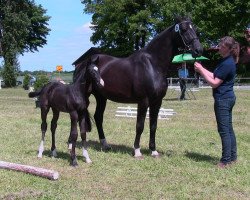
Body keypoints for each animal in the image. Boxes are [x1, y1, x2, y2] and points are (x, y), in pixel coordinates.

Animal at [85, 16, 203, 159]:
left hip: (101, 97)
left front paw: (153, 151)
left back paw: (105, 145)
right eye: (184, 29)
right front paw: (137, 151)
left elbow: (153, 125)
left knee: (98, 117)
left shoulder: (157, 102)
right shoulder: (143, 101)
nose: (198, 50)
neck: (153, 65)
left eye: (195, 29)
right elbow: (140, 125)